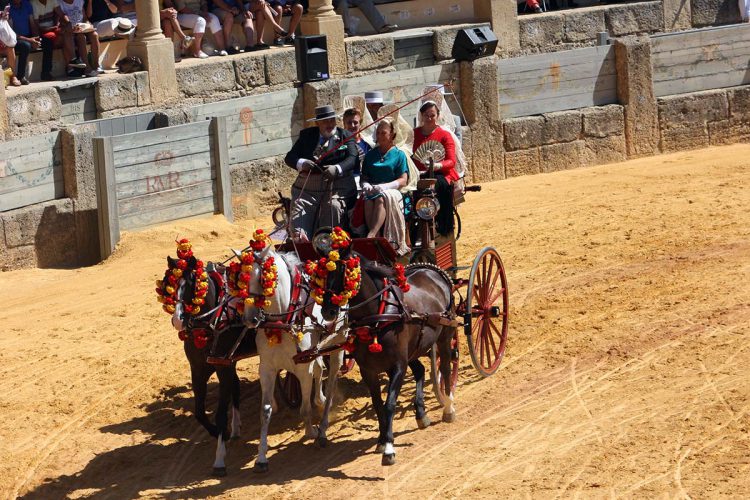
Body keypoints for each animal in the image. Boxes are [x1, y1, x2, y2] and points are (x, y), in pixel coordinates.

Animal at [318, 250, 458, 464]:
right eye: (323, 274)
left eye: (346, 272)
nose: (328, 310)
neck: (375, 318)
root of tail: (430, 269)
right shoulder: (368, 370)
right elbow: (377, 405)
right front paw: (382, 440)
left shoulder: (398, 366)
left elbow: (389, 404)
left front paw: (390, 448)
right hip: (413, 350)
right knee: (420, 370)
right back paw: (421, 414)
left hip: (445, 335)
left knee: (446, 368)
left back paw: (448, 408)